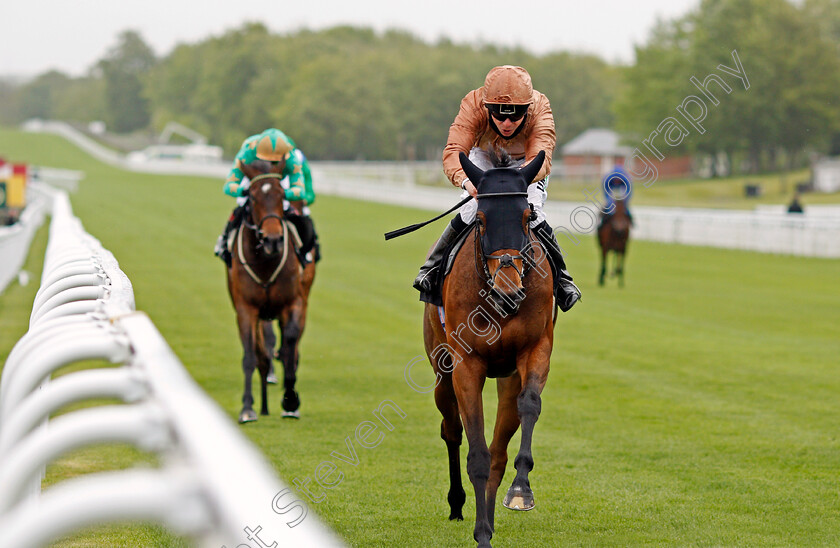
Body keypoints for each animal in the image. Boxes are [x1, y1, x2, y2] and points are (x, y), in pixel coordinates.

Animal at [424, 149, 556, 548]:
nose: (508, 291)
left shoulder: (535, 349)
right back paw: (457, 504)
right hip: (441, 370)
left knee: (500, 446)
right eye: (480, 220)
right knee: (451, 430)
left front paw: (521, 491)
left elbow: (529, 407)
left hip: (507, 378)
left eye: (528, 217)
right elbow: (476, 451)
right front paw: (480, 532)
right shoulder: (467, 365)